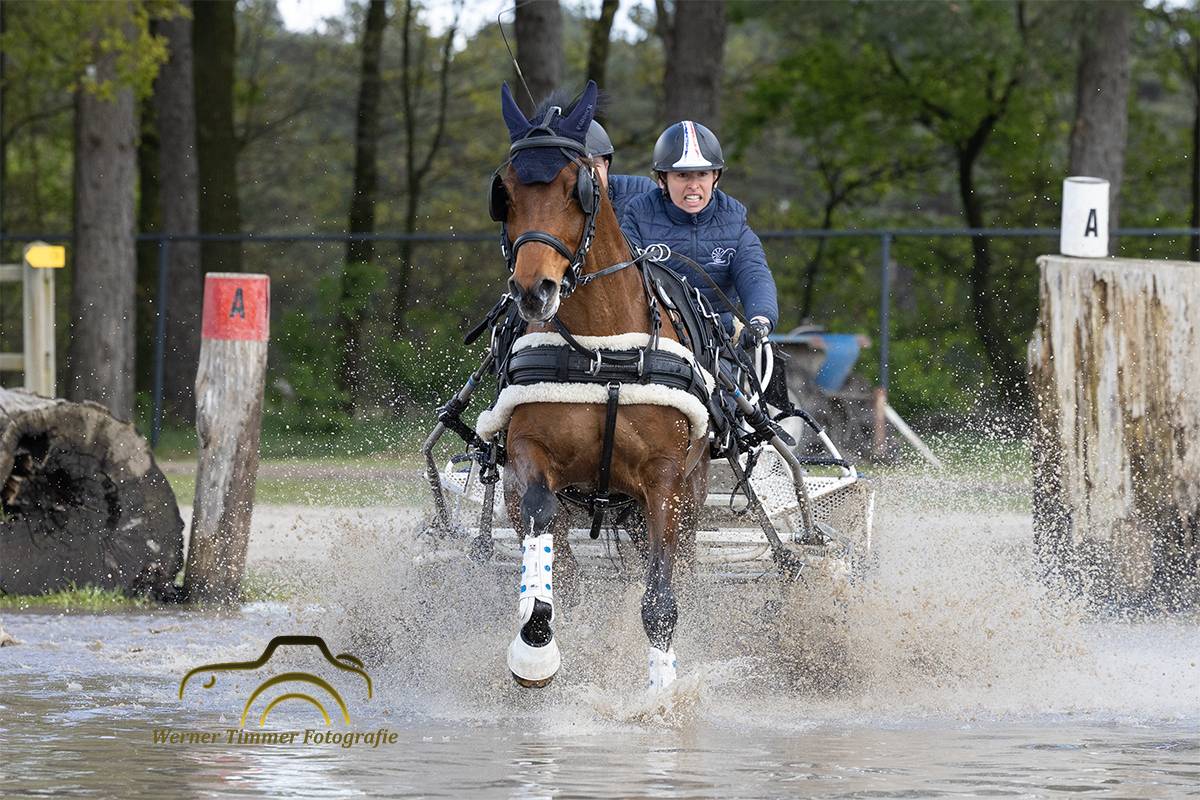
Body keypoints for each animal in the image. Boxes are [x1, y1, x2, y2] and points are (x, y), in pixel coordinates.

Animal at [491, 81, 709, 690]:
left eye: (577, 188)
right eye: (504, 192)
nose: (533, 291)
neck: (601, 352)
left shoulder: (664, 480)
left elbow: (660, 598)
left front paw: (661, 690)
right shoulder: (529, 453)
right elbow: (542, 521)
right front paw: (535, 643)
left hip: (688, 495)